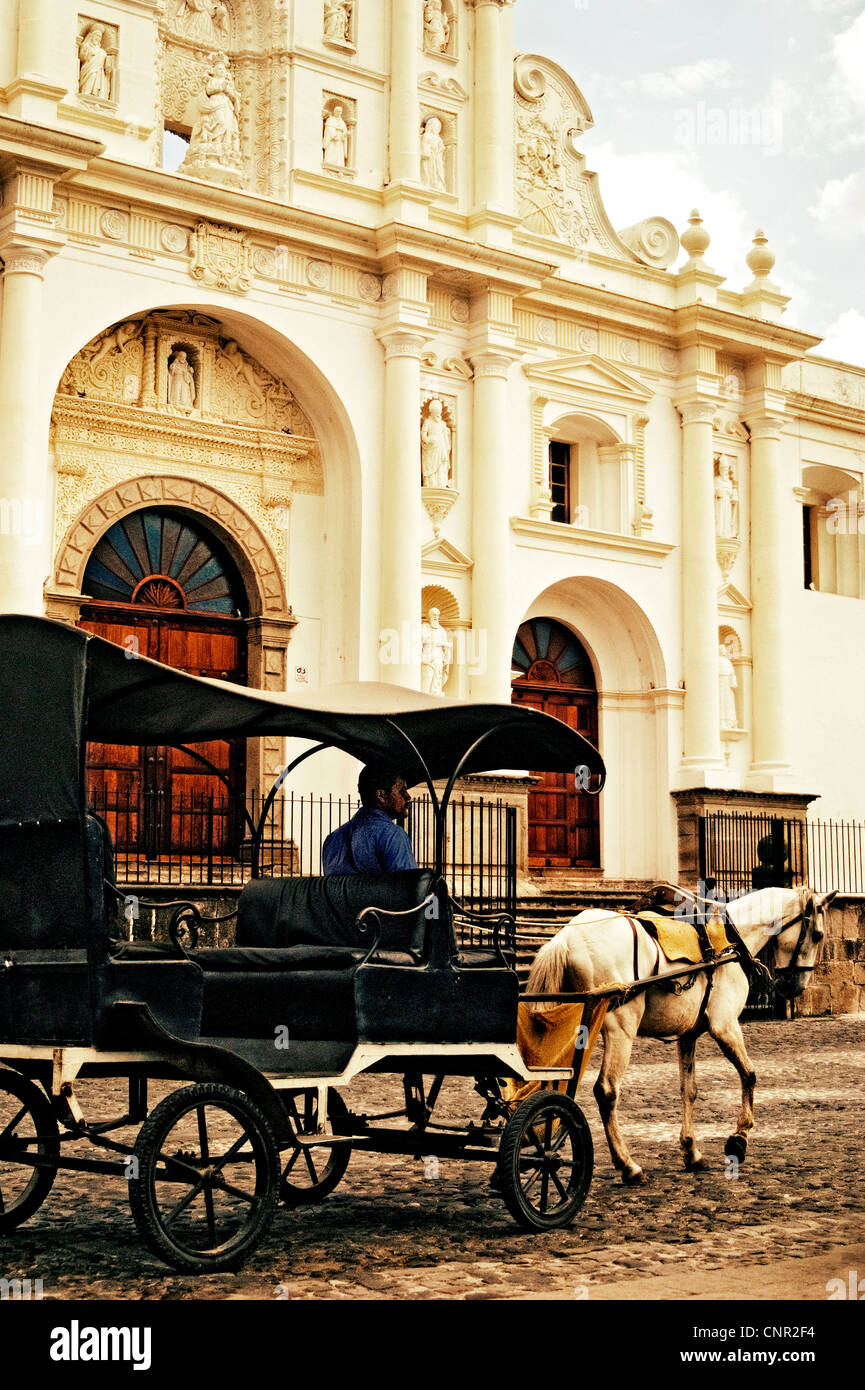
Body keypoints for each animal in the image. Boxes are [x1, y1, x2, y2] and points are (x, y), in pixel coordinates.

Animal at [525, 889, 839, 1184]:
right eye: (818, 935)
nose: (795, 987)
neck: (732, 938)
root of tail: (567, 939)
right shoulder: (725, 1026)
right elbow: (749, 1075)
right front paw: (739, 1139)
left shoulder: (688, 1035)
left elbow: (689, 1090)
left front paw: (691, 1150)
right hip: (620, 1028)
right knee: (606, 1091)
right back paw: (628, 1165)